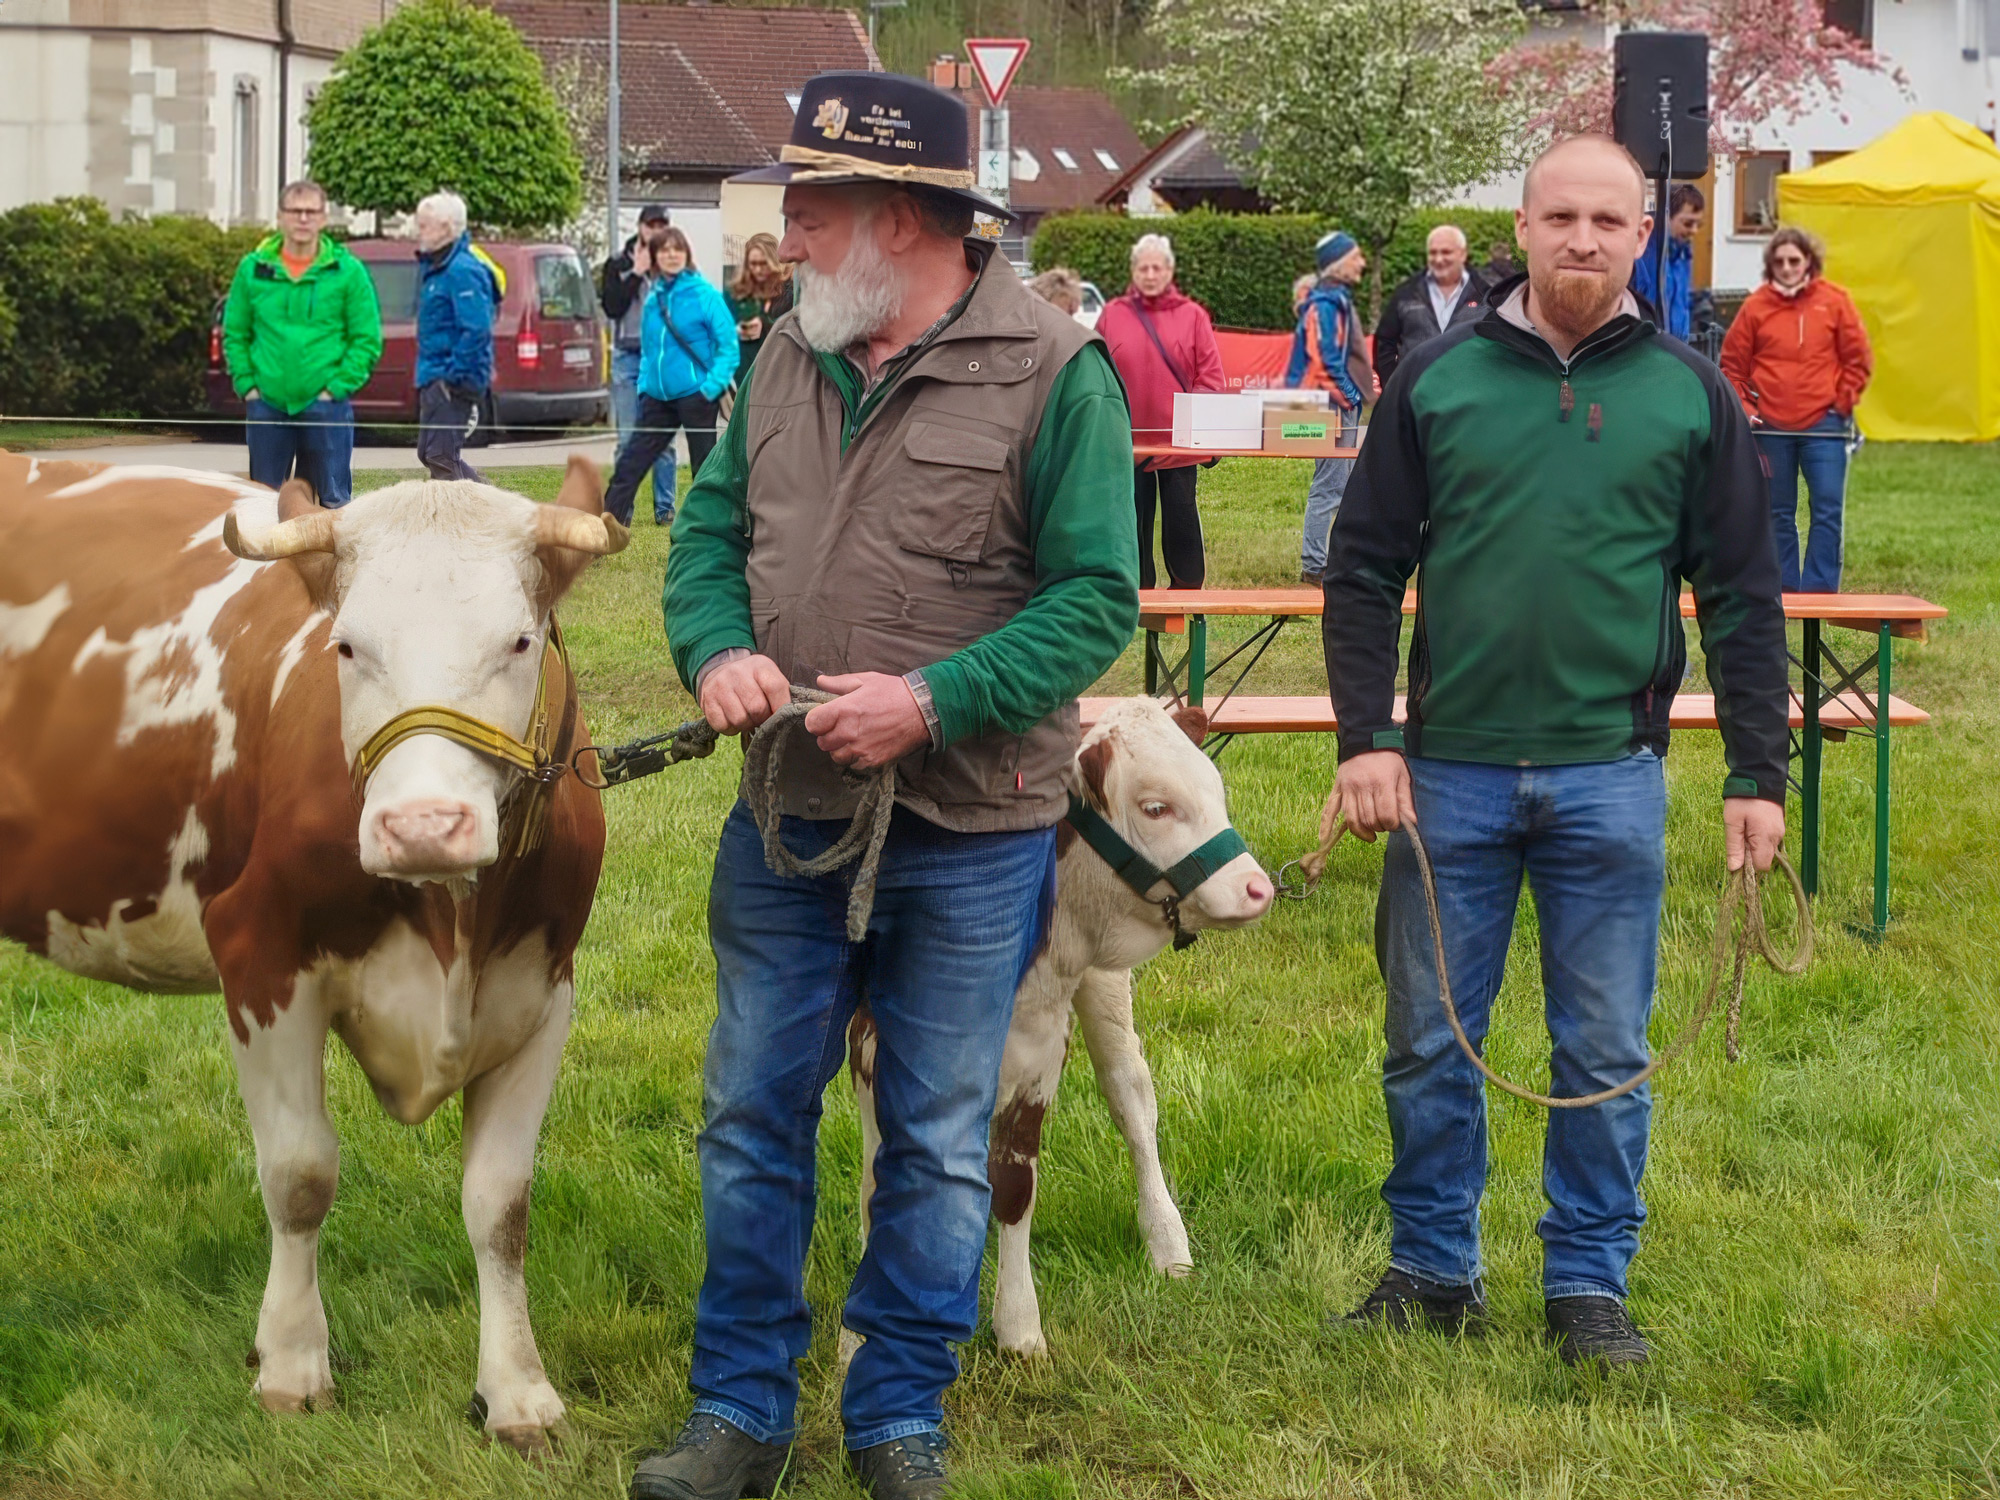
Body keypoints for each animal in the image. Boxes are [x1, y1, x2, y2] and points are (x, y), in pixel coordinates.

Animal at [0, 458, 620, 1456]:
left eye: (521, 641)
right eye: (346, 647)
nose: (422, 826)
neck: (452, 925)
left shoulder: (542, 988)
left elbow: (501, 1204)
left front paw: (518, 1392)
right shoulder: (260, 956)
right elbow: (299, 1175)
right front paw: (292, 1367)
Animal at [852, 700, 1272, 1360]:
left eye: (1215, 789)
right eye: (1156, 807)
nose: (1258, 888)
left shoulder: (1041, 1046)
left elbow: (1015, 1183)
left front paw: (1019, 1327)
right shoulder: (869, 1042)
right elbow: (878, 1179)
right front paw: (857, 1342)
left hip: (1104, 988)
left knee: (1132, 1100)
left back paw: (1168, 1240)